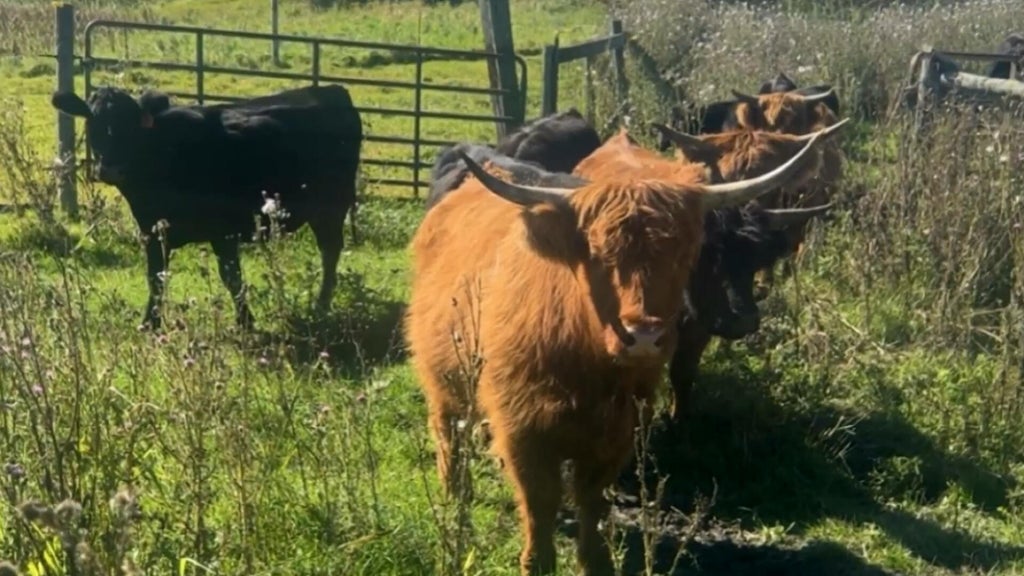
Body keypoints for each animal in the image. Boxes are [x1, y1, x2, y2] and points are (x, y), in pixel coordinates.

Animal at [50, 84, 363, 331]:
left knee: (329, 252)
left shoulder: (223, 231)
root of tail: (330, 90)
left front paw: (245, 322)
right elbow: (155, 277)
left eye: (130, 124)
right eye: (92, 121)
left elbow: (231, 277)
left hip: (331, 206)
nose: (110, 169)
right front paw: (150, 323)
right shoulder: (151, 230)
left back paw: (321, 306)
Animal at [405, 117, 829, 573]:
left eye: (685, 254)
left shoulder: (618, 431)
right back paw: (453, 493)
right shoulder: (523, 430)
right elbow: (539, 503)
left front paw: (597, 560)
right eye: (597, 252)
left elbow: (592, 504)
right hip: (440, 378)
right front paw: (537, 559)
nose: (643, 337)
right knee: (447, 431)